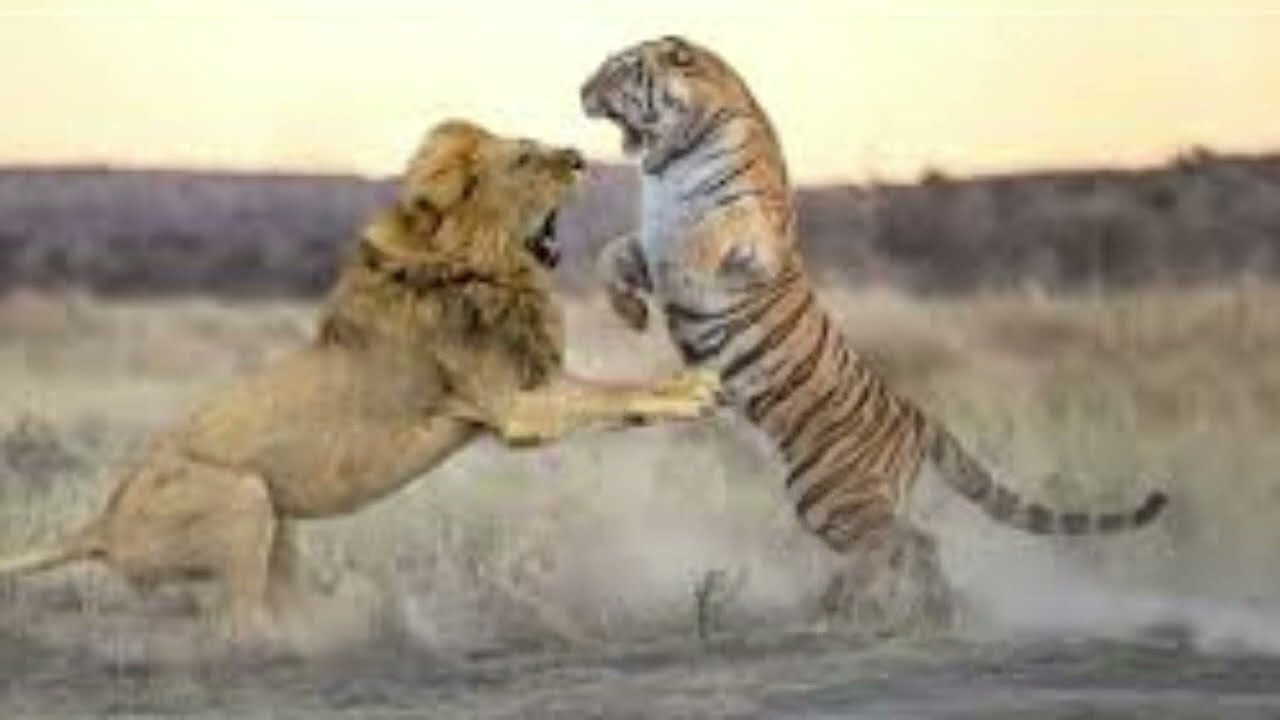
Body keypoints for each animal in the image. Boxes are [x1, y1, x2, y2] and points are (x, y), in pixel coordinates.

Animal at [0, 119, 720, 641]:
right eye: (523, 160)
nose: (575, 156)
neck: (486, 269)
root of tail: (101, 523)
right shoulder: (515, 408)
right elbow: (610, 392)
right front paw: (697, 392)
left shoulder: (531, 388)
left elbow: (612, 391)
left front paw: (689, 384)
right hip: (242, 500)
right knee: (233, 629)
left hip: (277, 526)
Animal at [580, 35, 1168, 627]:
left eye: (620, 71)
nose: (582, 91)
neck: (671, 161)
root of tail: (913, 414)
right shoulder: (645, 239)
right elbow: (614, 253)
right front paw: (630, 310)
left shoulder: (754, 235)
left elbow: (704, 236)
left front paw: (677, 278)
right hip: (843, 499)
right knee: (918, 543)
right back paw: (921, 610)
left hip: (830, 494)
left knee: (905, 542)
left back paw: (858, 613)